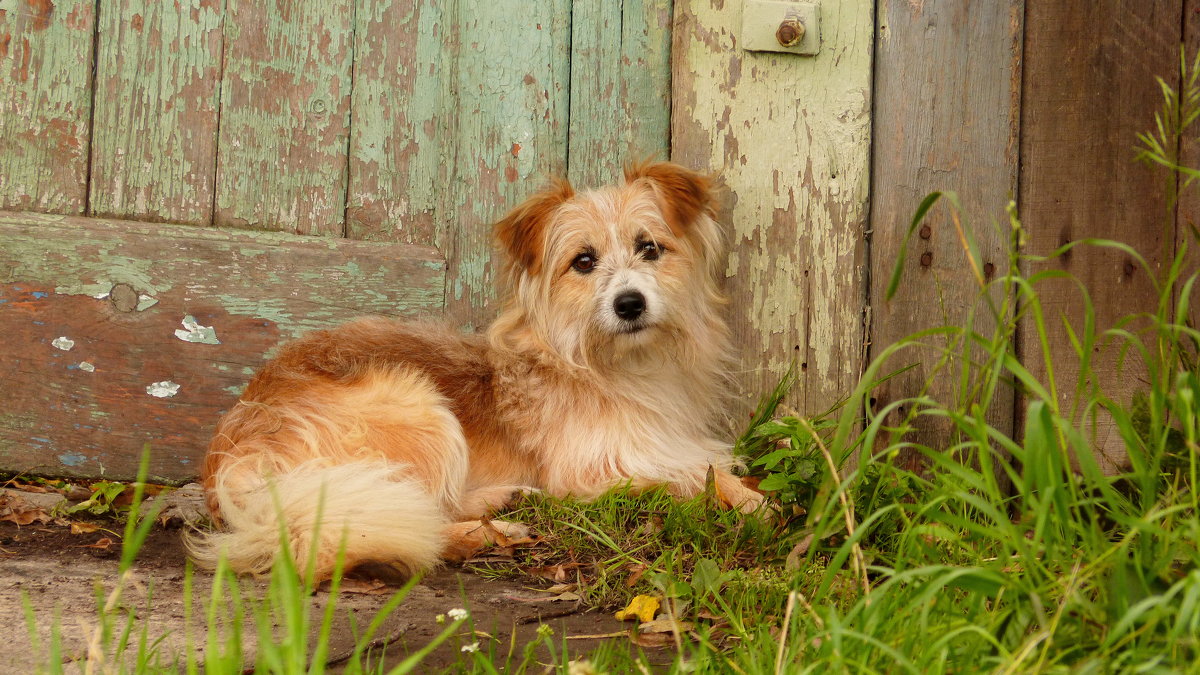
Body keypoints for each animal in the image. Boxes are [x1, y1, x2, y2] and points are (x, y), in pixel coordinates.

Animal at [190, 162, 763, 578]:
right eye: (583, 261)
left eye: (650, 249)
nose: (629, 304)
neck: (612, 364)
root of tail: (230, 462)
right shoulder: (593, 472)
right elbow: (687, 478)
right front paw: (748, 500)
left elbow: (704, 466)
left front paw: (743, 489)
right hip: (417, 411)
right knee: (383, 525)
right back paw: (487, 534)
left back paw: (502, 501)